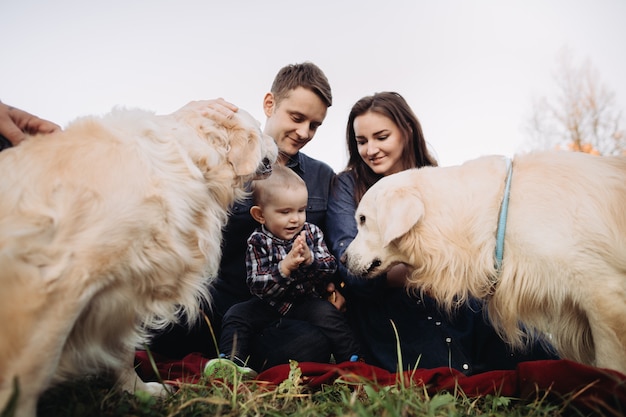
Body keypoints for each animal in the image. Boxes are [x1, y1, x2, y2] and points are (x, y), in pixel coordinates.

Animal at [0, 101, 276, 416]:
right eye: (260, 131)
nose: (277, 143)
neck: (190, 157)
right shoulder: (61, 285)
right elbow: (31, 372)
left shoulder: (125, 287)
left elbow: (122, 351)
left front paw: (138, 390)